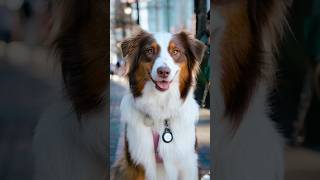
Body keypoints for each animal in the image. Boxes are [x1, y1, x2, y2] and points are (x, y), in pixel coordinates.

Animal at [111, 28, 206, 180]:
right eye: (149, 51)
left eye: (176, 51)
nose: (163, 72)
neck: (161, 107)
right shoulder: (139, 164)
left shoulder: (187, 164)